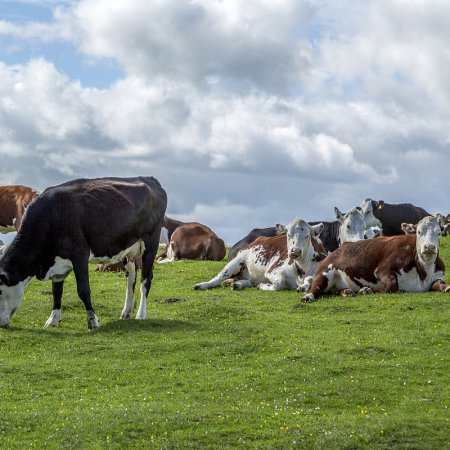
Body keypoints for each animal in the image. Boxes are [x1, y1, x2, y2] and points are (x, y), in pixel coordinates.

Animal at [0, 177, 167, 330]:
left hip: (150, 242)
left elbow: (83, 290)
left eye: (0, 292)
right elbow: (56, 291)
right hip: (127, 248)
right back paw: (126, 312)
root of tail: (149, 179)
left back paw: (141, 314)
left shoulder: (79, 254)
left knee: (146, 279)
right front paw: (53, 319)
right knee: (131, 278)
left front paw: (92, 320)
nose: (1, 324)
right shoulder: (57, 262)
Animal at [192, 218, 326, 292]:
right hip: (236, 261)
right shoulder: (272, 271)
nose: (295, 251)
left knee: (248, 281)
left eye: (307, 236)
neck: (302, 269)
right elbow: (279, 284)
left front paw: (303, 287)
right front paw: (263, 286)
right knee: (218, 278)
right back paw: (201, 285)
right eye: (288, 235)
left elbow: (310, 279)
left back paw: (238, 284)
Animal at [298, 216, 450, 304]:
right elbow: (391, 286)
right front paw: (367, 290)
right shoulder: (383, 269)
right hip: (324, 272)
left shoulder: (437, 276)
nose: (429, 247)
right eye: (419, 232)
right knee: (315, 288)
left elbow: (443, 286)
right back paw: (308, 297)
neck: (423, 273)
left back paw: (347, 292)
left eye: (438, 233)